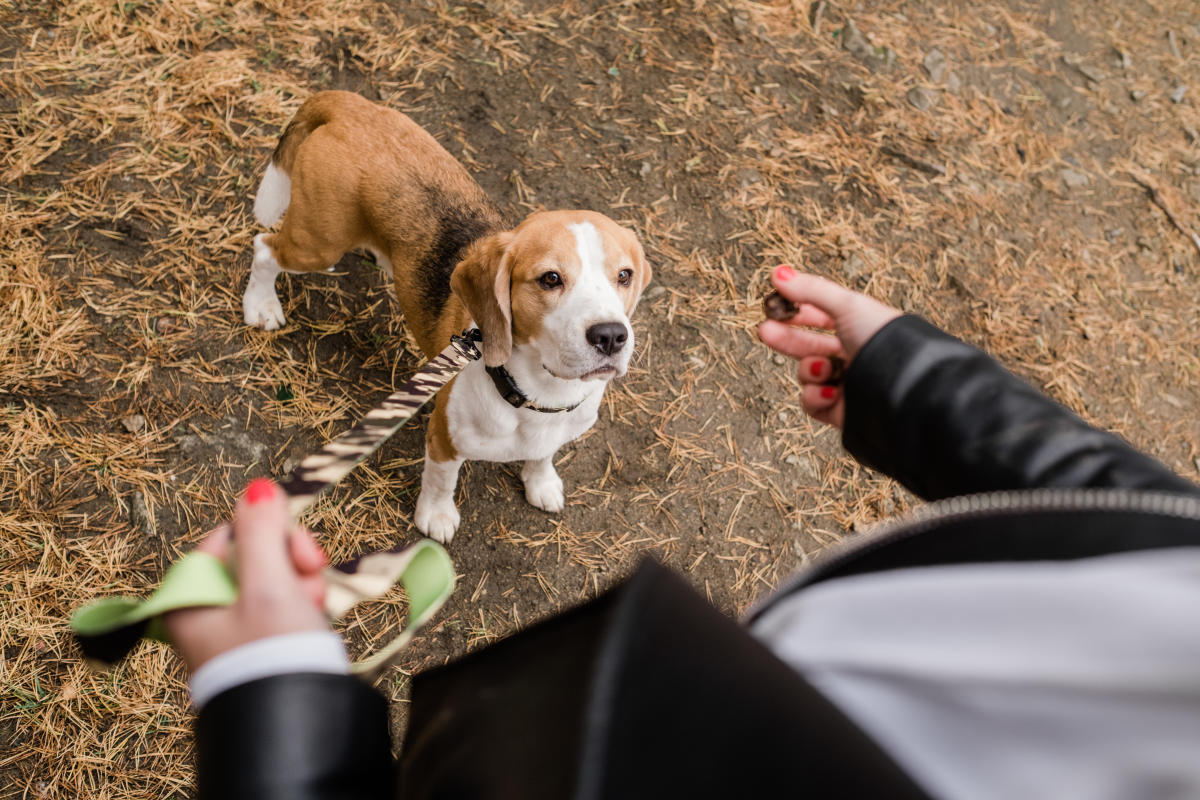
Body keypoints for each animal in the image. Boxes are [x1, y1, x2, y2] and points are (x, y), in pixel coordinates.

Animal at [243, 92, 652, 544]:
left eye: (624, 276)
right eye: (550, 279)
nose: (611, 336)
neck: (541, 395)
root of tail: (350, 105)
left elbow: (543, 455)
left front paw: (541, 482)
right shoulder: (443, 440)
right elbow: (442, 481)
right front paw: (436, 516)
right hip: (317, 243)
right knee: (264, 248)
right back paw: (260, 305)